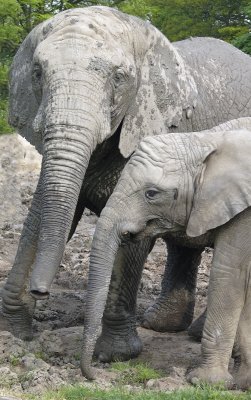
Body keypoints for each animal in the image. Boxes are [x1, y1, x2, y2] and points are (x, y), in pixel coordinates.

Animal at [1, 7, 251, 350]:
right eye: (37, 73)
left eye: (119, 78)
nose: (41, 290)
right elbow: (40, 215)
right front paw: (15, 333)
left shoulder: (153, 130)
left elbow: (133, 230)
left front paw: (114, 353)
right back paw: (161, 324)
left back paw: (193, 332)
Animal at [81, 118, 251, 388]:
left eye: (151, 193)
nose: (97, 373)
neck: (205, 142)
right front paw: (243, 383)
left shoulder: (243, 211)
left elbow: (229, 274)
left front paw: (206, 382)